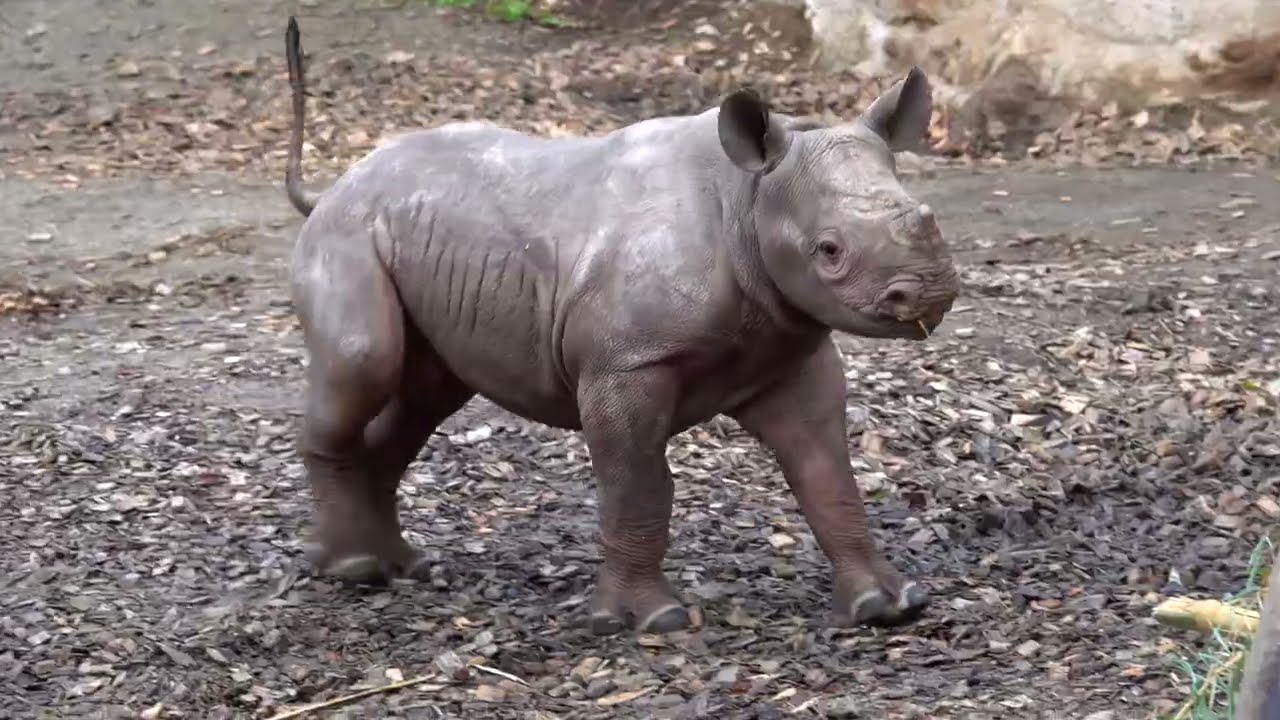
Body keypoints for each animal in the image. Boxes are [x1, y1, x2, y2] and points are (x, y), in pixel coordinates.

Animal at [281, 16, 961, 634]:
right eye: (829, 251)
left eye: (928, 215)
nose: (929, 292)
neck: (748, 199)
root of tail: (335, 186)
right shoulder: (627, 364)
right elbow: (637, 486)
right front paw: (650, 620)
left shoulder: (787, 348)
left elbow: (827, 476)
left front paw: (887, 606)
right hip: (350, 233)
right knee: (365, 359)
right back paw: (352, 570)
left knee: (425, 394)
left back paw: (397, 565)